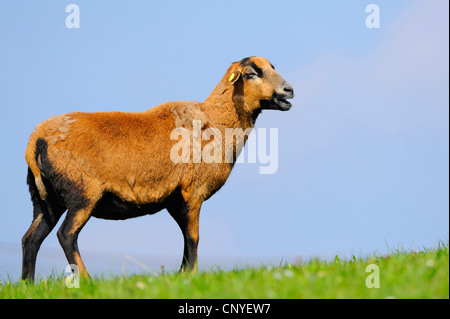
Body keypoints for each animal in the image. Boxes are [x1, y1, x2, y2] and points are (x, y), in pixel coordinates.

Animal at [22, 56, 296, 282]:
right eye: (251, 73)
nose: (289, 90)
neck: (216, 123)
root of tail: (36, 140)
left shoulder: (175, 200)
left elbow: (185, 237)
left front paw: (182, 275)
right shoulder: (193, 191)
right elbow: (194, 237)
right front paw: (192, 275)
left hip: (45, 198)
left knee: (31, 239)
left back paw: (28, 284)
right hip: (83, 192)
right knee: (66, 235)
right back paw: (87, 280)